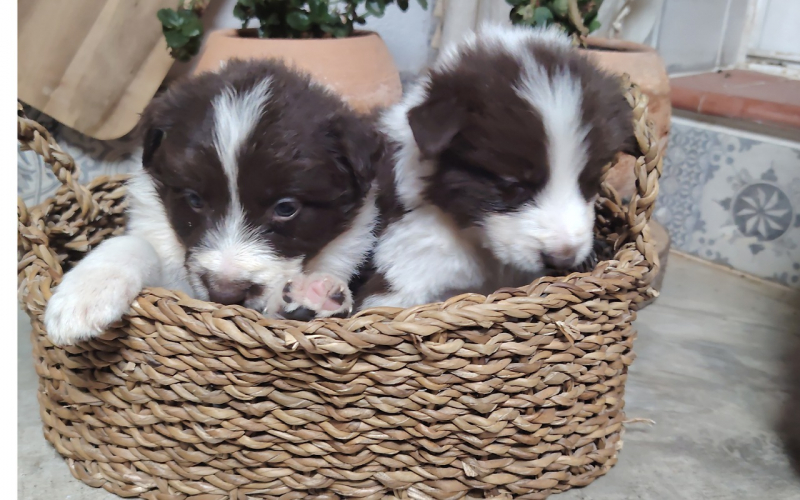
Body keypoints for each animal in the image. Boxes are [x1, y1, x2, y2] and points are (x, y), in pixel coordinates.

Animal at [44, 59, 382, 345]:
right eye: (194, 199)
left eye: (286, 208)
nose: (225, 293)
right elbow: (134, 244)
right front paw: (87, 293)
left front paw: (309, 296)